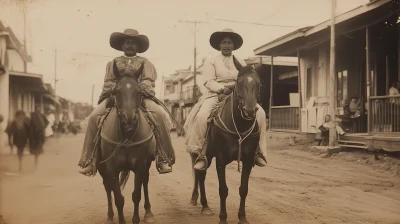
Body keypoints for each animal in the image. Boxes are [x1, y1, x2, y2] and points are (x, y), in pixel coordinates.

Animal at [97, 64, 158, 223]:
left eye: (139, 92)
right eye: (117, 92)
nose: (129, 120)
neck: (127, 136)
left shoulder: (140, 165)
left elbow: (136, 195)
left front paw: (136, 219)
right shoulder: (111, 168)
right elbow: (118, 198)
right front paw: (121, 220)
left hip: (146, 165)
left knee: (145, 182)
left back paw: (149, 212)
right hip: (102, 167)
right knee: (107, 187)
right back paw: (110, 216)